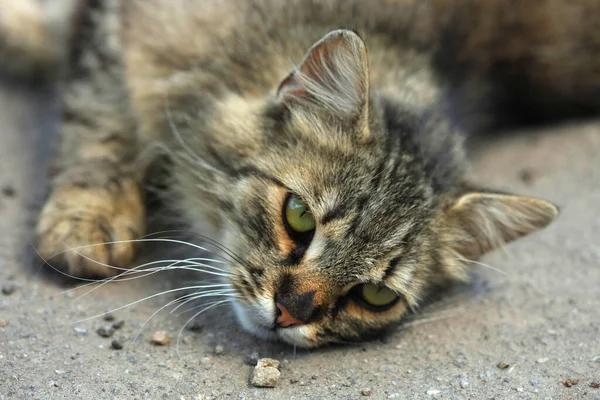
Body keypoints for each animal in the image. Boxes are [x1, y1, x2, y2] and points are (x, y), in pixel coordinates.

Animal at [2, 0, 596, 346]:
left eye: (374, 295)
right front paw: (86, 218)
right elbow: (101, 113)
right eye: (299, 218)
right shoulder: (125, 27)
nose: (289, 312)